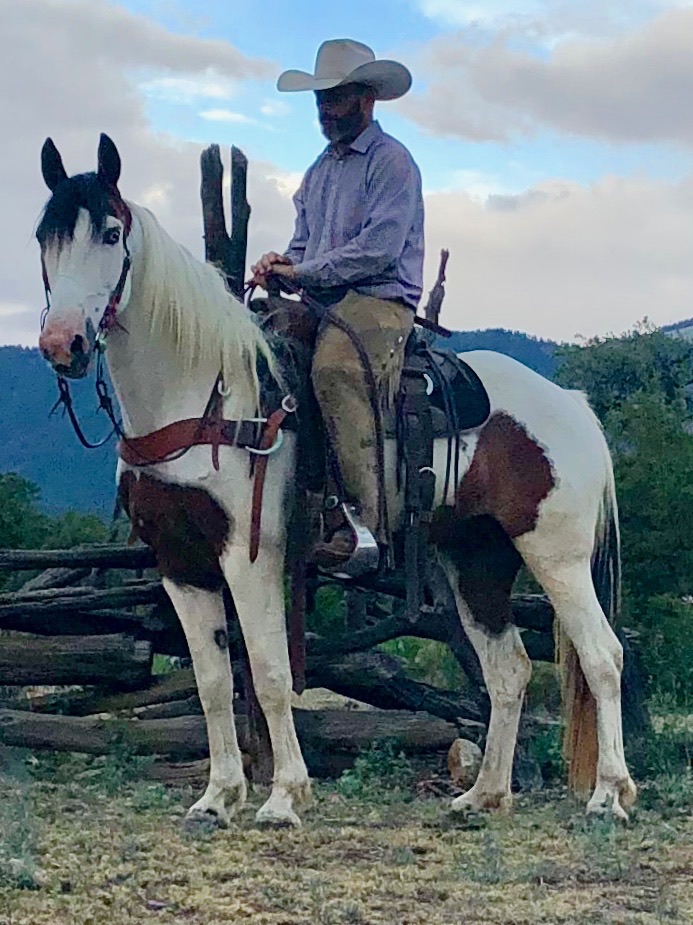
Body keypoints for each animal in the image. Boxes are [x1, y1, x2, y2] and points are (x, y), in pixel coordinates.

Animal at [36, 134, 636, 827]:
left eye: (110, 233)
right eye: (44, 237)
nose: (63, 343)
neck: (203, 395)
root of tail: (571, 404)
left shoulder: (251, 556)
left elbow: (269, 672)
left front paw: (283, 797)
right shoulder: (178, 561)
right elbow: (213, 680)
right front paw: (217, 797)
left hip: (556, 555)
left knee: (602, 656)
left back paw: (608, 795)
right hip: (476, 557)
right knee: (508, 668)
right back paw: (483, 794)